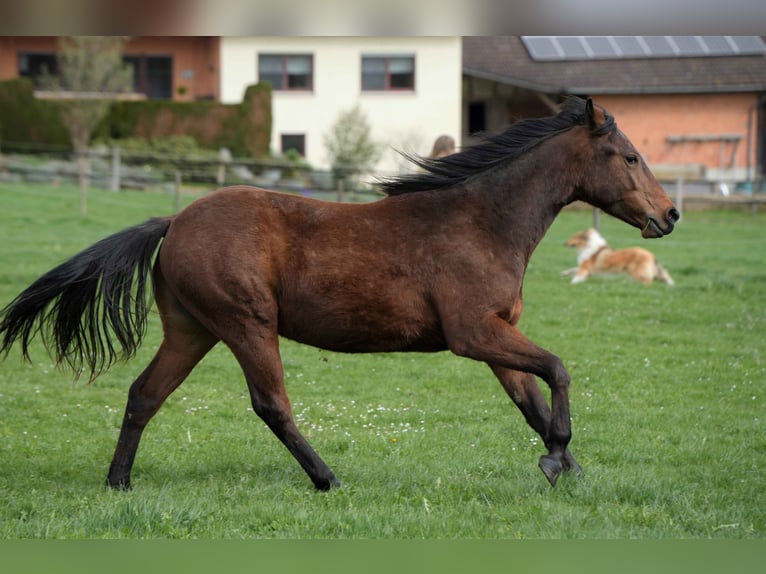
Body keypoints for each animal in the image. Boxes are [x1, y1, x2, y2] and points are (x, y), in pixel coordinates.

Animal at [0, 97, 679, 490]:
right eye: (628, 156)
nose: (669, 215)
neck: (482, 222)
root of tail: (174, 222)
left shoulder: (495, 335)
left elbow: (531, 402)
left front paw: (569, 468)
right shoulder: (473, 334)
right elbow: (558, 370)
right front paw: (560, 458)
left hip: (193, 330)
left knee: (144, 395)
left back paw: (118, 484)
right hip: (247, 324)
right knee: (271, 404)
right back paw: (327, 478)